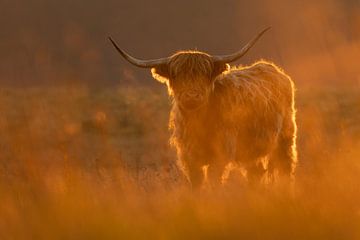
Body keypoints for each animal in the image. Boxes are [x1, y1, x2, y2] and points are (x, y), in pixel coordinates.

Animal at [110, 28, 298, 188]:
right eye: (176, 75)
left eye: (205, 74)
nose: (192, 96)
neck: (197, 123)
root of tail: (270, 67)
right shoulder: (189, 158)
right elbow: (197, 184)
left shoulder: (220, 155)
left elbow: (213, 182)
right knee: (256, 172)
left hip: (285, 139)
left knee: (285, 169)